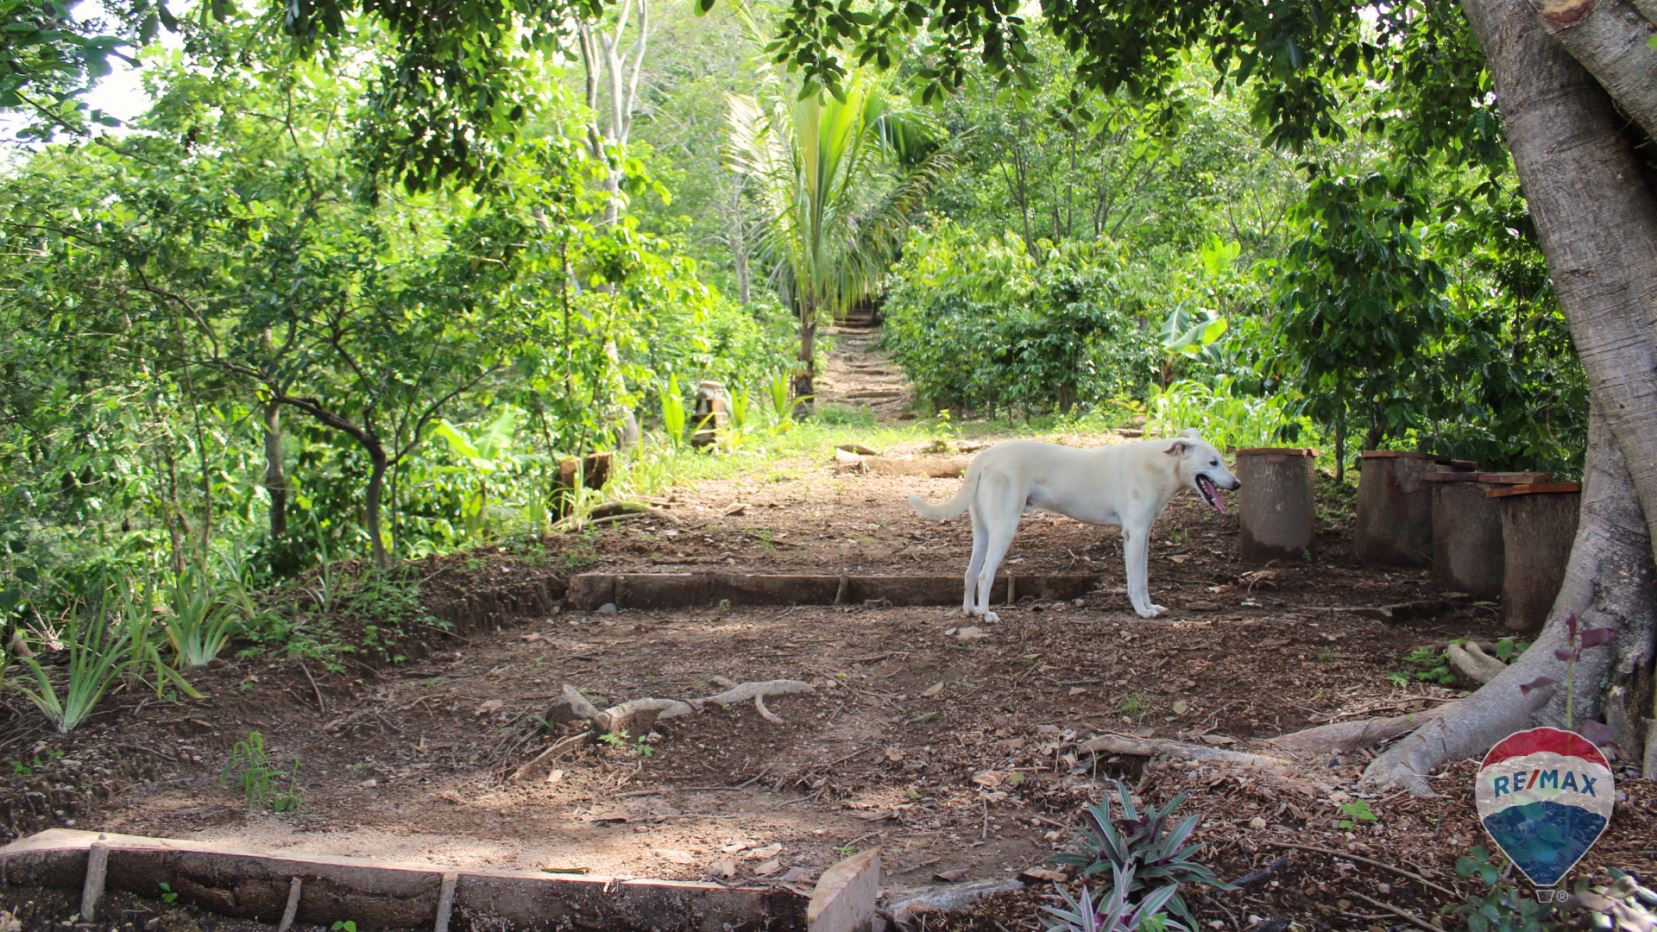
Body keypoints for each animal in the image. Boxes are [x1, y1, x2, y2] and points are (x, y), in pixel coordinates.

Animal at [908, 427, 1246, 616]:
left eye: (1221, 460)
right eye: (1213, 463)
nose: (1238, 484)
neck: (1160, 465)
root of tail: (985, 457)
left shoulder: (1144, 536)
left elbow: (1144, 579)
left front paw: (1151, 607)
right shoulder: (1134, 534)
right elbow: (1135, 581)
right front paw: (1142, 612)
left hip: (983, 531)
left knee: (968, 573)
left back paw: (970, 611)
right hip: (1004, 529)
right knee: (983, 575)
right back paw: (985, 614)